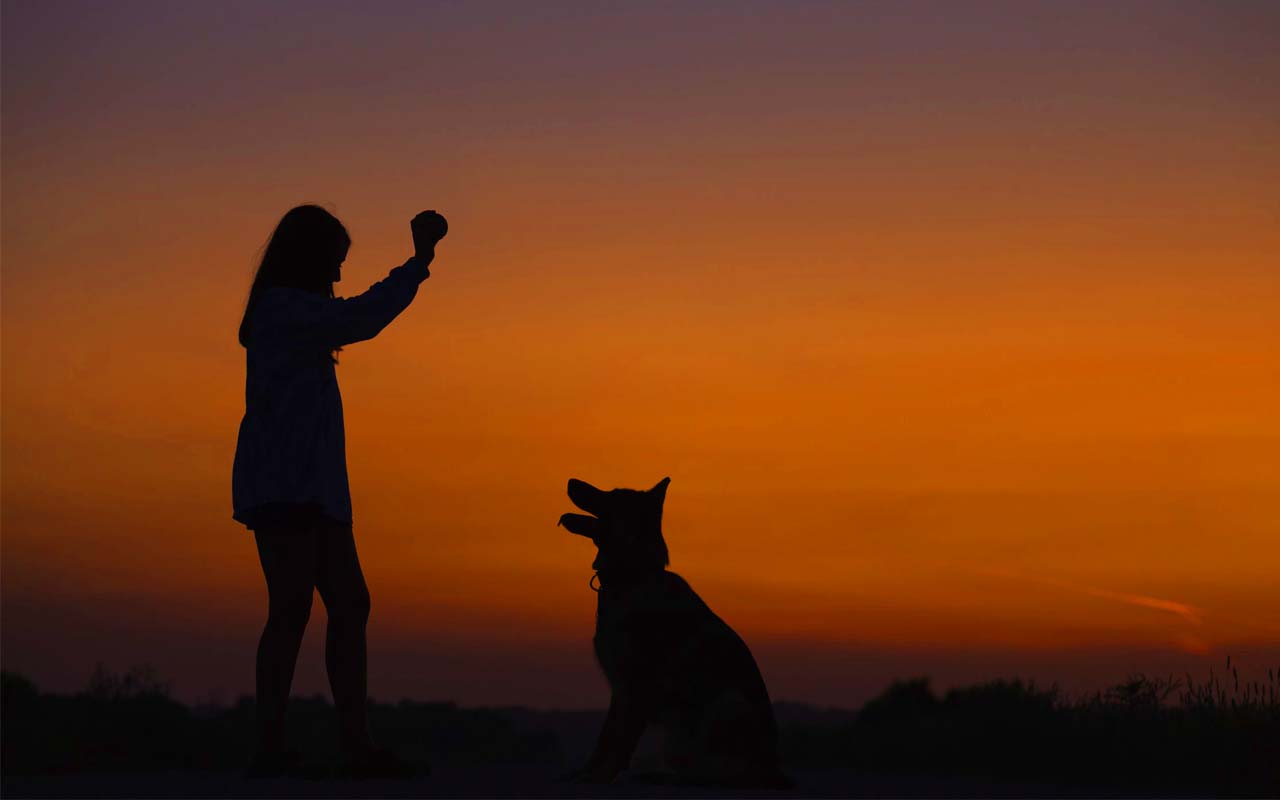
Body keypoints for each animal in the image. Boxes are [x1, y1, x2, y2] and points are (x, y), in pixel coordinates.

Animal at [560, 473, 788, 788]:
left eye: (612, 494)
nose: (570, 480)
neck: (634, 576)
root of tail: (774, 769)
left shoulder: (636, 686)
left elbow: (620, 742)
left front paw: (599, 777)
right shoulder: (621, 688)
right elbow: (605, 739)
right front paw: (586, 773)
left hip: (729, 704)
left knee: (726, 774)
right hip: (677, 740)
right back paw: (660, 775)